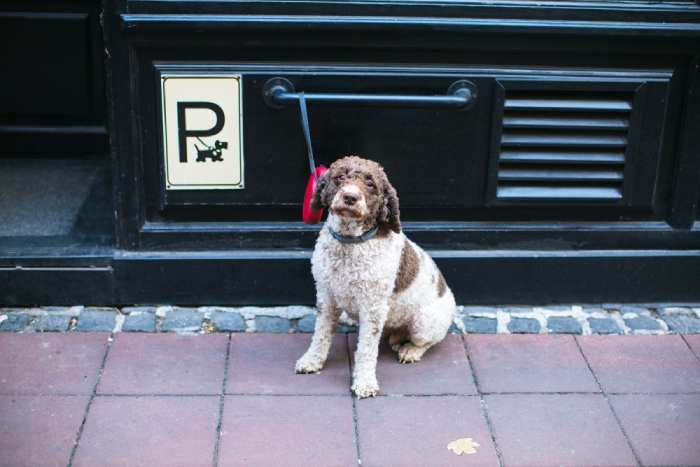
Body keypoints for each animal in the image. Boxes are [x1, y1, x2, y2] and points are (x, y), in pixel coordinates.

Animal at [294, 155, 454, 396]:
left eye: (370, 184)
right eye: (339, 177)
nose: (350, 197)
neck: (349, 242)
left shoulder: (373, 307)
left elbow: (366, 349)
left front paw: (364, 382)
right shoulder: (326, 295)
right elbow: (321, 334)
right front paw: (312, 360)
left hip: (424, 323)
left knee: (427, 341)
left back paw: (410, 350)